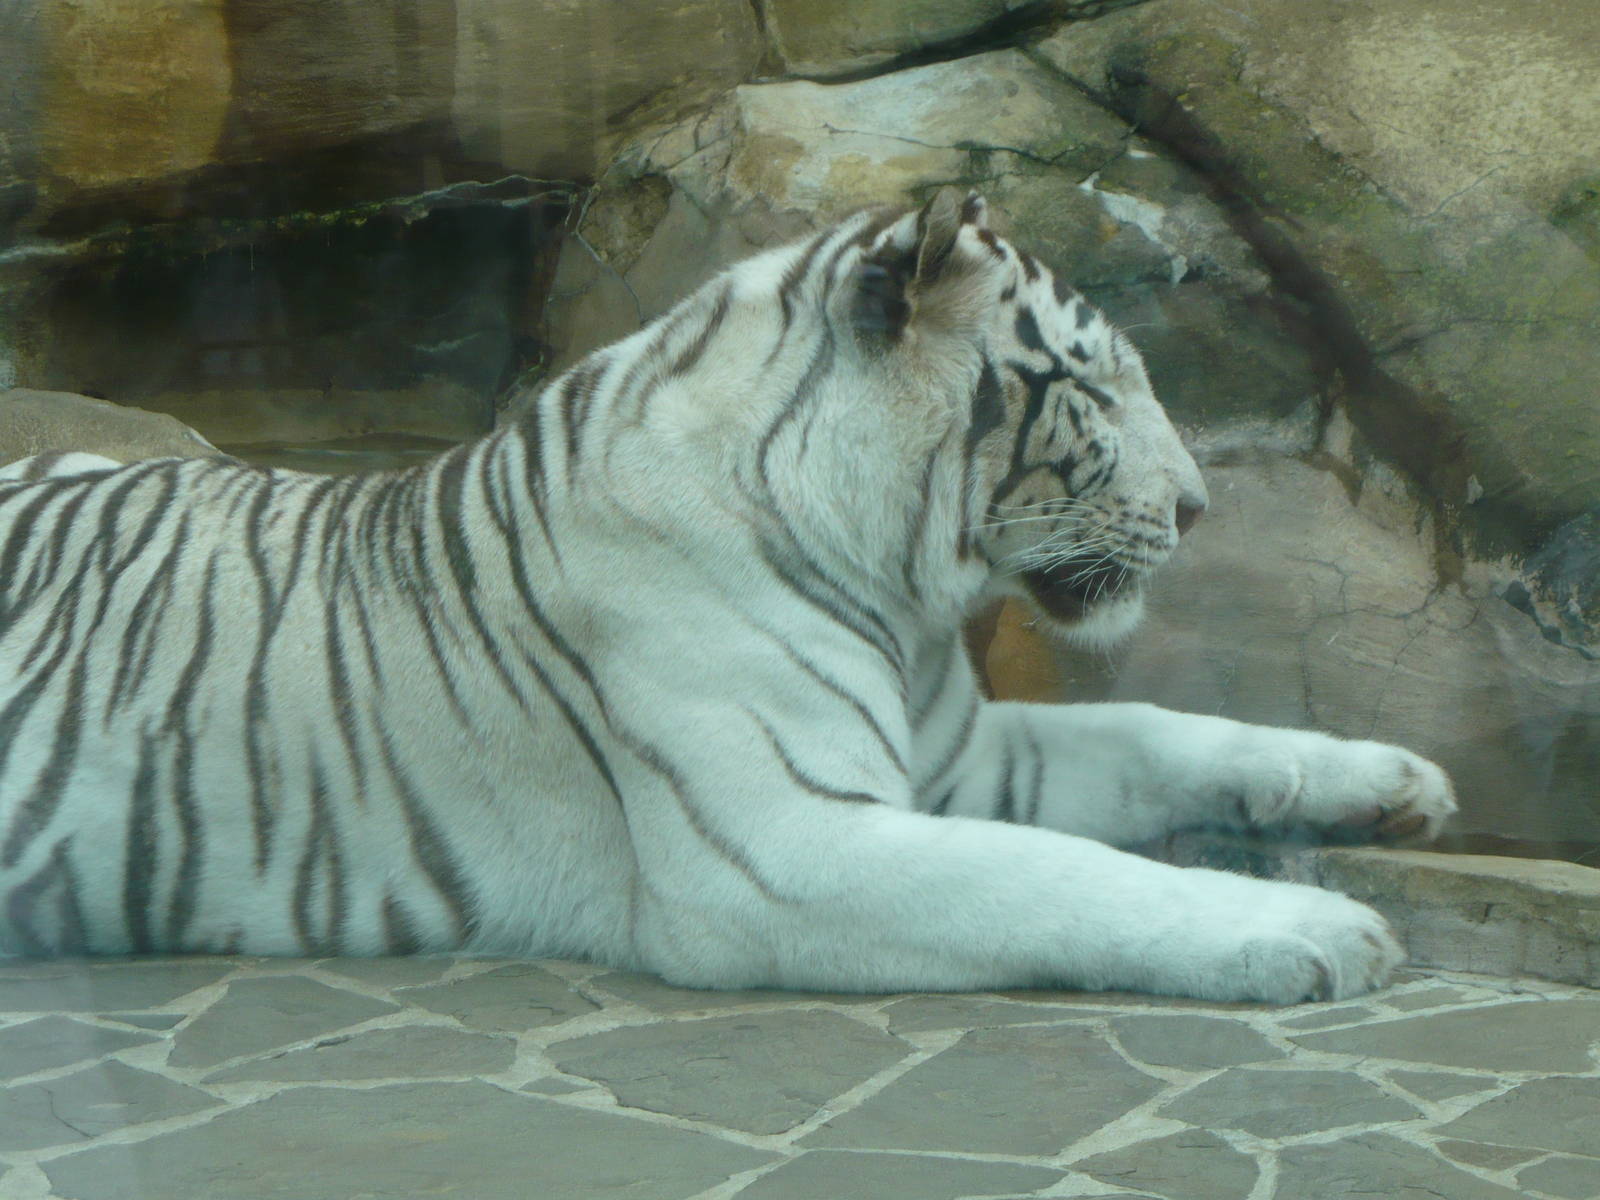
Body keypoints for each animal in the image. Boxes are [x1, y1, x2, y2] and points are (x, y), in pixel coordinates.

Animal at [0, 190, 1456, 1002]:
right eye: (1093, 384)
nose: (1200, 507)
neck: (901, 585)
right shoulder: (778, 846)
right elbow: (1068, 874)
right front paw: (1317, 929)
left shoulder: (961, 756)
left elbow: (1164, 737)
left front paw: (1391, 779)